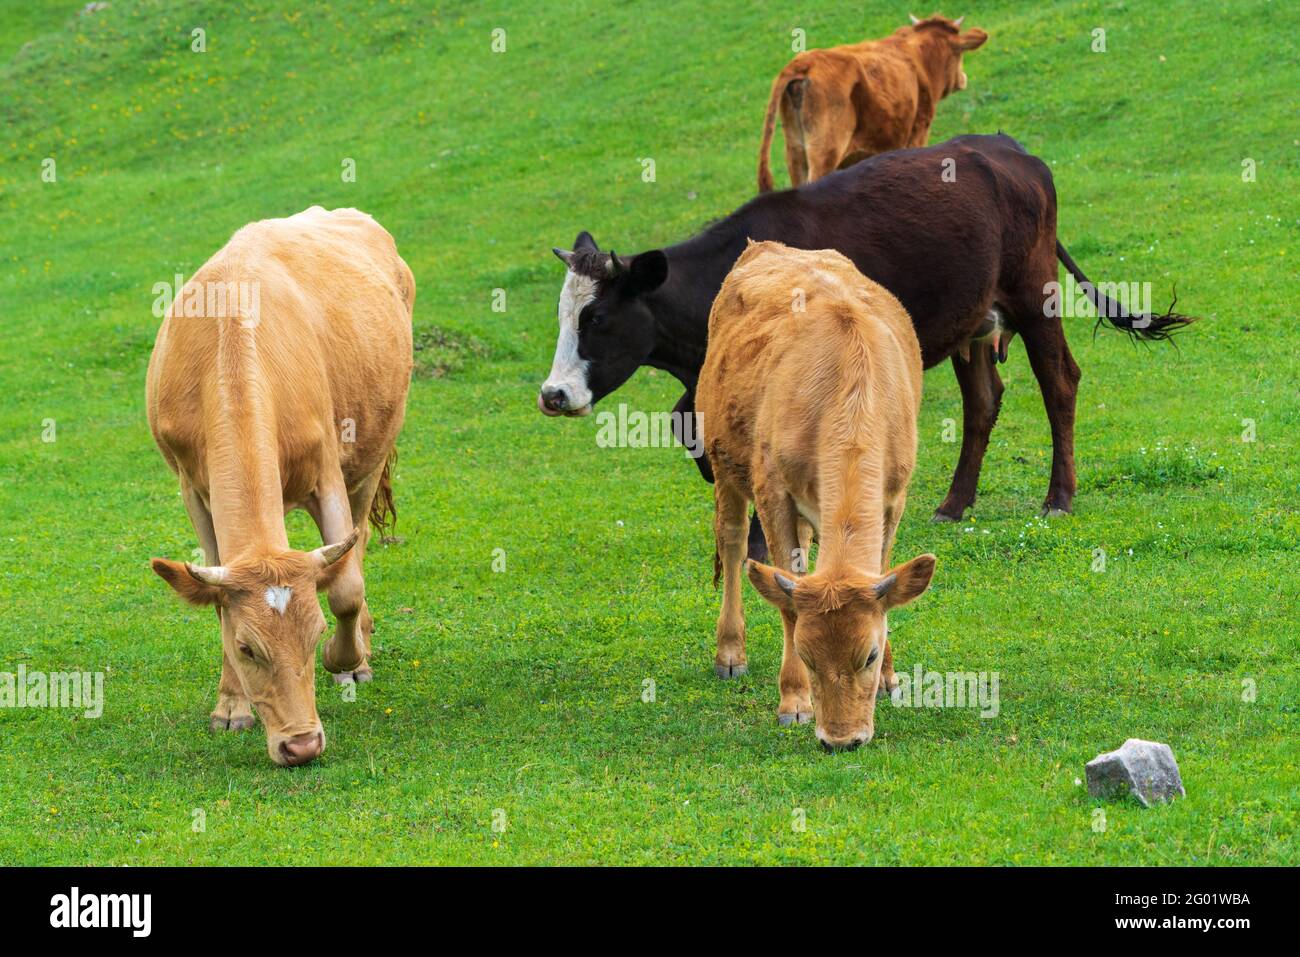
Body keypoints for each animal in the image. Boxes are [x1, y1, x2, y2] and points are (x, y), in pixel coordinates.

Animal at [146, 206, 415, 766]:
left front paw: (344, 658)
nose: (302, 744)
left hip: (370, 457)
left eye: (313, 636)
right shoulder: (193, 490)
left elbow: (345, 589)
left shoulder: (327, 471)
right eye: (248, 647)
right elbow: (218, 598)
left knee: (355, 545)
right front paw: (231, 705)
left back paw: (360, 653)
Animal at [539, 133, 1192, 565]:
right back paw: (954, 503)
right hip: (973, 321)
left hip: (1036, 298)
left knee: (1060, 382)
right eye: (564, 316)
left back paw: (1059, 497)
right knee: (984, 402)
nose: (553, 394)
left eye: (596, 316)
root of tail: (1009, 150)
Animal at [700, 241, 935, 750]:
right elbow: (788, 601)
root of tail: (764, 246)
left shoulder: (895, 497)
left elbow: (882, 574)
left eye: (869, 655)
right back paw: (730, 652)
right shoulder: (772, 490)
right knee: (732, 542)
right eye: (808, 657)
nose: (842, 740)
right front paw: (794, 701)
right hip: (723, 462)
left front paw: (890, 679)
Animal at [757, 14, 988, 193]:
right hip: (824, 154)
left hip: (795, 153)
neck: (920, 57)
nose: (963, 79)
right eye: (959, 54)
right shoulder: (918, 132)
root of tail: (805, 62)